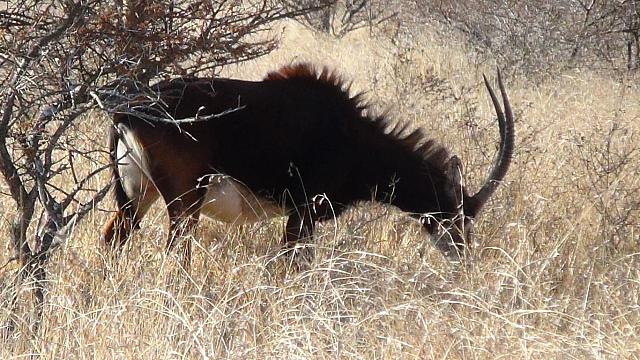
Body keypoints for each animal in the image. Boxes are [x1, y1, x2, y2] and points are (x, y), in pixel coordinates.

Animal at [100, 63, 516, 262]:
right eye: (459, 216)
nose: (463, 259)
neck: (355, 138)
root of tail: (128, 111)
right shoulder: (304, 213)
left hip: (139, 196)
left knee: (113, 237)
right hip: (185, 201)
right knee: (175, 251)